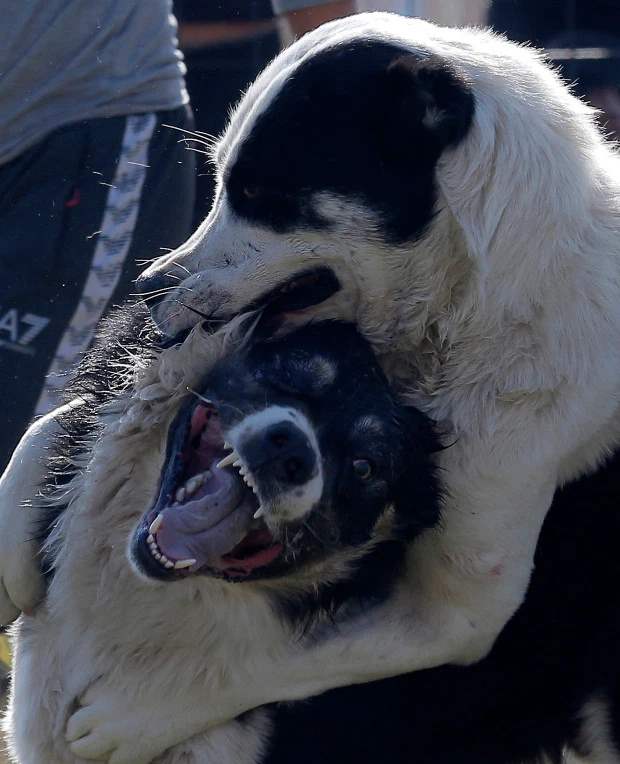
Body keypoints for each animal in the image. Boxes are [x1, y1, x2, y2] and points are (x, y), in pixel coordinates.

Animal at [3, 11, 620, 764]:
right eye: (218, 184)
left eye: (262, 197)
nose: (146, 291)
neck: (473, 296)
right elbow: (47, 428)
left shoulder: (460, 610)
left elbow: (261, 661)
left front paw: (131, 718)